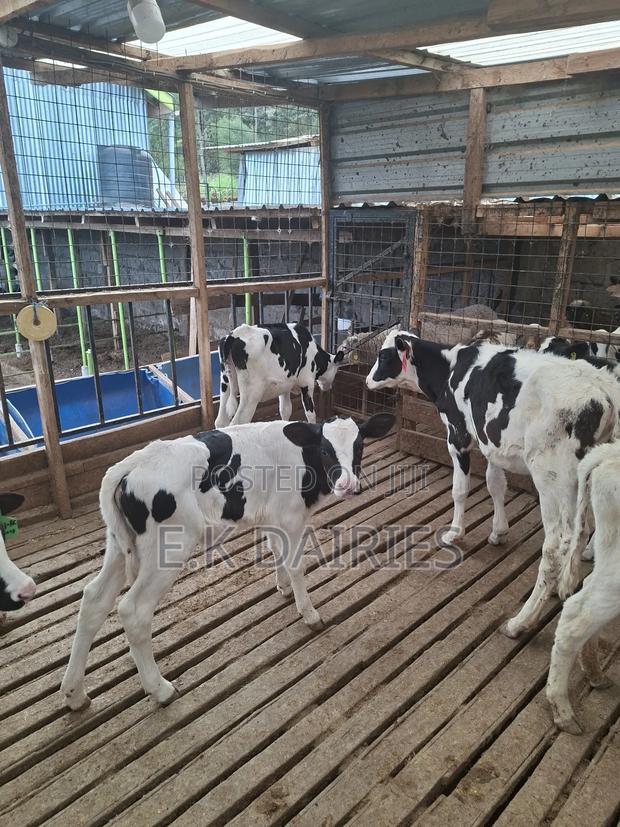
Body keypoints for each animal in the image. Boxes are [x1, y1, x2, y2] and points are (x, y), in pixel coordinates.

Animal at [61, 413, 395, 710]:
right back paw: (161, 689)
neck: (302, 459)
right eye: (326, 449)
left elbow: (277, 553)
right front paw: (309, 613)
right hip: (168, 548)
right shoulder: (291, 518)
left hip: (120, 545)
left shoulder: (273, 518)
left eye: (360, 445)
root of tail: (131, 464)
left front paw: (283, 588)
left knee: (93, 599)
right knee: (133, 610)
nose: (348, 484)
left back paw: (75, 694)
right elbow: (296, 565)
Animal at [215, 323, 347, 427]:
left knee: (221, 421)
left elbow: (285, 410)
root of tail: (233, 335)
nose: (328, 387)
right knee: (238, 422)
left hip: (225, 383)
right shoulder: (307, 383)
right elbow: (310, 412)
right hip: (251, 393)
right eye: (336, 370)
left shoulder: (285, 386)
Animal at [366, 330, 620, 638]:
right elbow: (495, 484)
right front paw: (499, 531)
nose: (367, 380)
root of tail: (603, 393)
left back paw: (521, 621)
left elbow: (460, 489)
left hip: (552, 477)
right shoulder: (492, 441)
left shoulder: (458, 434)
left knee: (557, 544)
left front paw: (454, 533)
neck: (450, 368)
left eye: (384, 355)